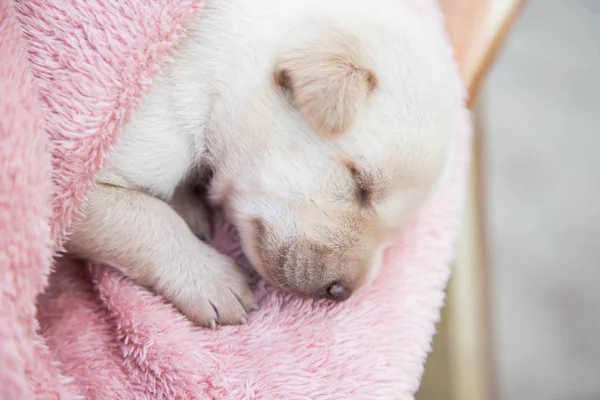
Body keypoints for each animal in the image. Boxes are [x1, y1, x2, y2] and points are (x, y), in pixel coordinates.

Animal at [65, 0, 462, 328]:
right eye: (359, 184)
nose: (341, 294)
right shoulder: (82, 176)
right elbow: (146, 220)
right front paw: (212, 280)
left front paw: (186, 203)